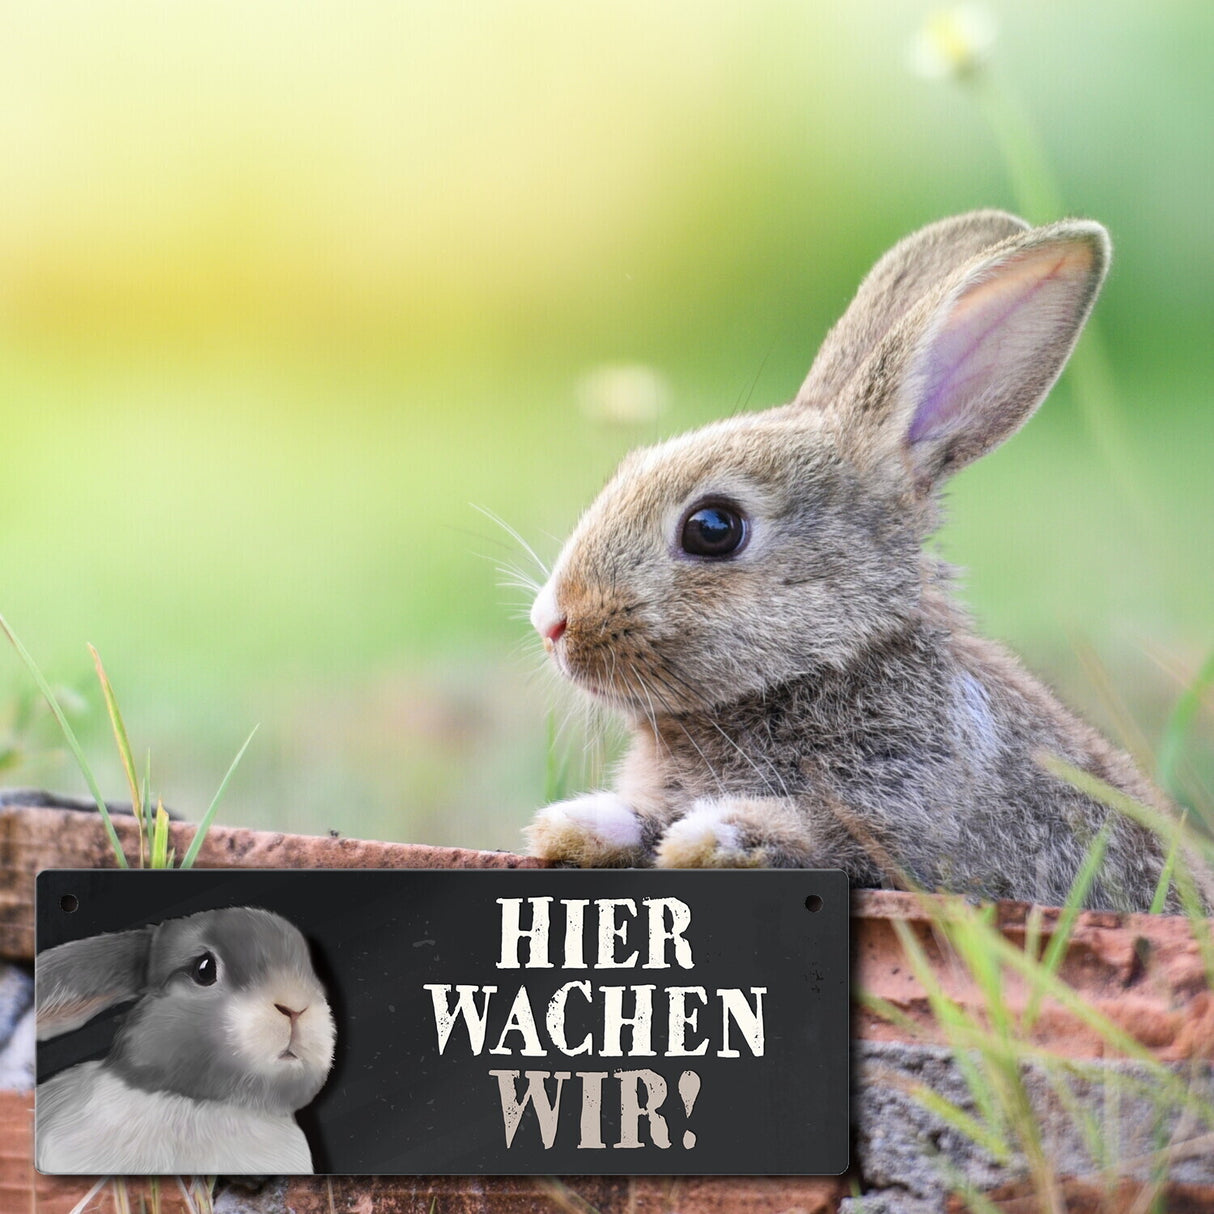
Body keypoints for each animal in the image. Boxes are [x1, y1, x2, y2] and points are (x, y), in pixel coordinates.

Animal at [524, 209, 1188, 913]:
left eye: (713, 528)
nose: (551, 622)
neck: (826, 664)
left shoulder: (904, 822)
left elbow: (820, 839)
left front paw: (715, 836)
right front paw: (579, 824)